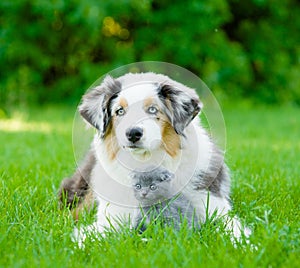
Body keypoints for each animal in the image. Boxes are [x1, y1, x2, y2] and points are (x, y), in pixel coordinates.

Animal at [58, 72, 248, 242]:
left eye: (152, 109)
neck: (147, 163)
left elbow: (232, 230)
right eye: (120, 111)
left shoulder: (212, 206)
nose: (133, 134)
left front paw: (246, 246)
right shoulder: (112, 217)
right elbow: (94, 234)